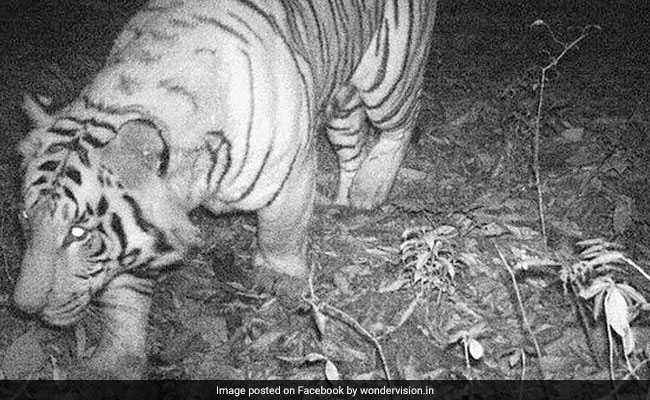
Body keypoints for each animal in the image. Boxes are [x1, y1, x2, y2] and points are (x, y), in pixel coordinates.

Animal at [13, 0, 436, 379]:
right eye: (24, 217)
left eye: (77, 232)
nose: (23, 308)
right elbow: (124, 297)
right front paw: (114, 361)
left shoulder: (289, 173)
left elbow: (281, 234)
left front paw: (280, 280)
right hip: (342, 103)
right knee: (353, 144)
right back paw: (345, 202)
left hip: (388, 76)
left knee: (402, 120)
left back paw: (371, 187)